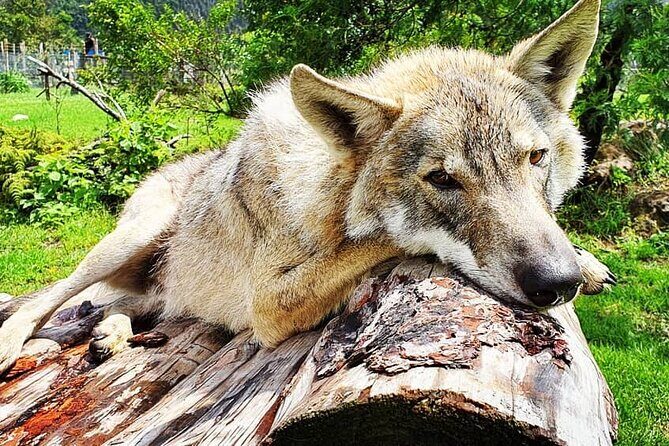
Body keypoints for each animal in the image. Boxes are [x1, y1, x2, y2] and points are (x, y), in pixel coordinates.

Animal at [0, 0, 615, 374]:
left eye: (535, 158)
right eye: (442, 179)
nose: (557, 282)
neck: (325, 197)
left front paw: (585, 262)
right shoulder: (270, 302)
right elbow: (385, 239)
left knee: (130, 306)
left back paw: (112, 333)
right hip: (132, 238)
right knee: (51, 299)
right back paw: (24, 341)